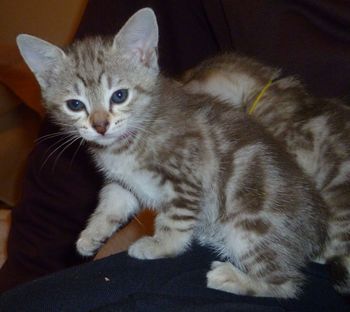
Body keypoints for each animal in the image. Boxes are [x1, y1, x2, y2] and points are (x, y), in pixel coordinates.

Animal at [15, 8, 328, 298]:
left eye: (119, 95)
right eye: (75, 105)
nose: (100, 126)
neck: (129, 142)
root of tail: (315, 231)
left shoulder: (187, 176)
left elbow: (175, 221)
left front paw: (160, 245)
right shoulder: (124, 183)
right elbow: (111, 205)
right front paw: (91, 234)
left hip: (250, 228)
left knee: (286, 284)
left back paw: (233, 278)